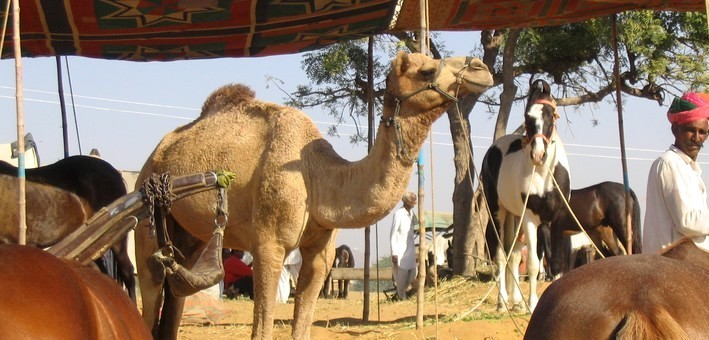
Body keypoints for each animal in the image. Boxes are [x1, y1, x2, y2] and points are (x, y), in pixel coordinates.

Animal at [136, 51, 492, 338]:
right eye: (426, 71)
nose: (481, 67)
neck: (315, 175)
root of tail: (156, 154)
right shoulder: (268, 245)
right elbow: (262, 328)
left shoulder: (321, 253)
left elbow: (303, 325)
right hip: (147, 217)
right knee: (152, 290)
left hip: (189, 235)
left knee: (177, 292)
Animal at [478, 79, 572, 314]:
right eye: (528, 116)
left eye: (551, 115)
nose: (538, 155)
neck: (545, 176)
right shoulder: (530, 218)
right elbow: (533, 264)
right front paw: (532, 305)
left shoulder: (557, 219)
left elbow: (555, 262)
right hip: (499, 213)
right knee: (501, 255)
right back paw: (503, 302)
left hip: (516, 218)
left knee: (513, 255)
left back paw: (517, 301)